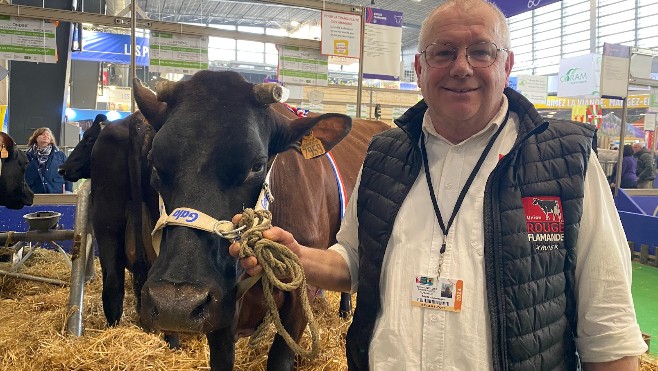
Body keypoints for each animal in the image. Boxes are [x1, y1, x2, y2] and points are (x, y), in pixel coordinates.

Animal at [134, 70, 390, 371]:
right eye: (155, 162)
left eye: (256, 165)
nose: (176, 304)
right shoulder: (221, 307)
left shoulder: (298, 295)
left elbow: (280, 358)